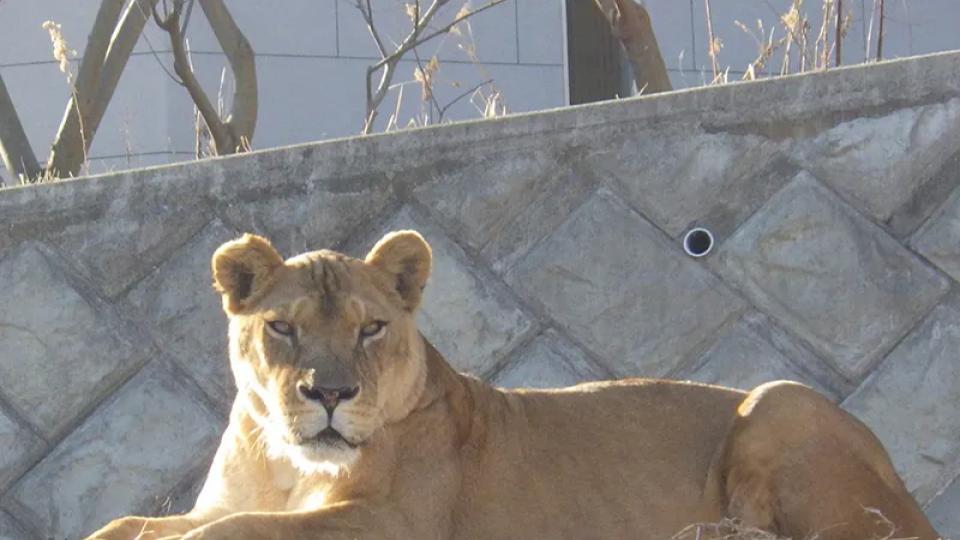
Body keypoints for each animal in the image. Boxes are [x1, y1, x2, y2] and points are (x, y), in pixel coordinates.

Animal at [87, 230, 940, 540]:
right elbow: (137, 522)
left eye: (370, 328)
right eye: (284, 328)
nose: (328, 396)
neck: (287, 460)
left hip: (779, 398)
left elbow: (240, 532)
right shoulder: (227, 501)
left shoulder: (394, 523)